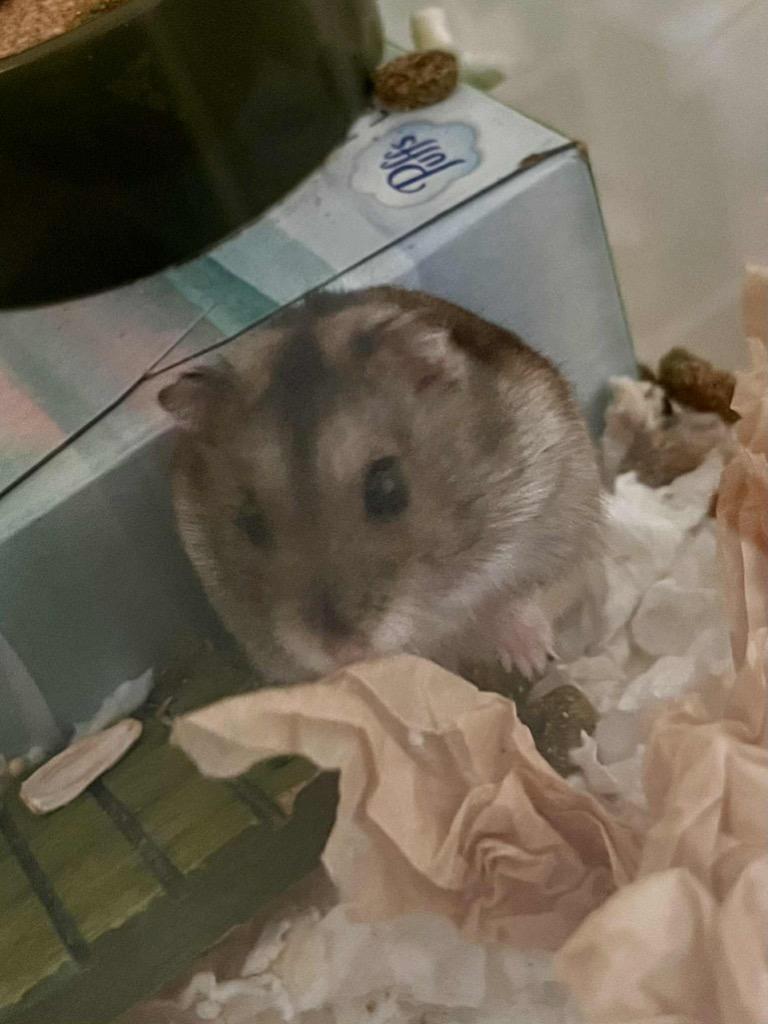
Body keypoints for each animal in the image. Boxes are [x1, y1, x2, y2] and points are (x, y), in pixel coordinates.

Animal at [159, 287, 602, 683]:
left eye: (387, 490)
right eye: (249, 521)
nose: (343, 651)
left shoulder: (559, 515)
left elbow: (524, 596)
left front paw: (529, 661)